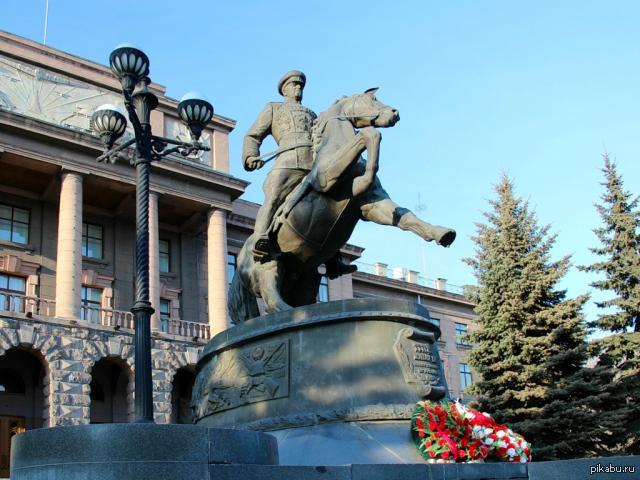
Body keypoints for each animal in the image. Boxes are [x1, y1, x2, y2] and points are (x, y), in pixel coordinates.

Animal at [230, 88, 456, 324]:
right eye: (373, 99)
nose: (395, 113)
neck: (334, 146)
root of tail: (239, 263)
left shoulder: (371, 205)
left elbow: (405, 217)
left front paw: (442, 233)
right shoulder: (327, 178)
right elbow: (369, 135)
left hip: (305, 279)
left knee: (297, 300)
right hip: (268, 266)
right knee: (272, 301)